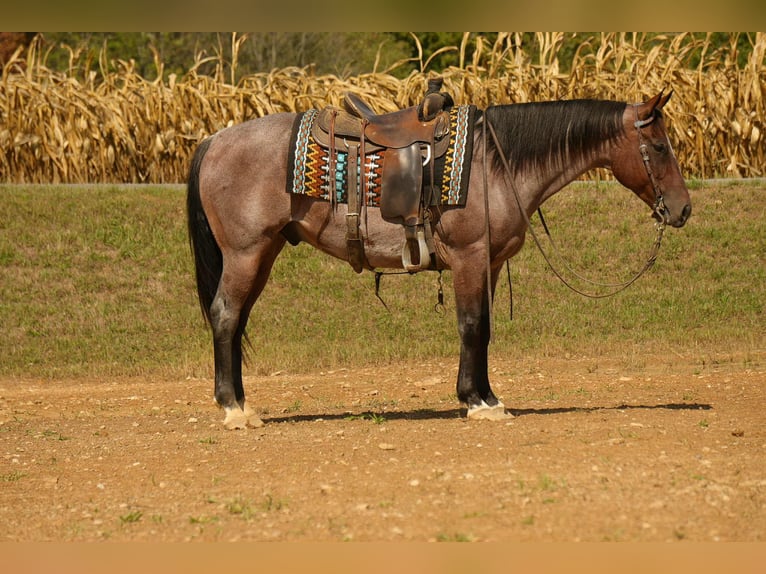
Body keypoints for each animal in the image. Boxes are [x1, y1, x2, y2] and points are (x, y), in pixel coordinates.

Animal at [186, 90, 691, 429]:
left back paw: (243, 404)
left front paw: (487, 396)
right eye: (660, 147)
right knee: (226, 315)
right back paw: (233, 409)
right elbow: (471, 326)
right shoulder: (470, 257)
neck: (495, 165)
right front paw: (477, 402)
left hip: (263, 253)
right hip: (246, 253)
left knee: (236, 321)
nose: (683, 209)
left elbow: (483, 329)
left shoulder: (489, 264)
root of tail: (214, 141)